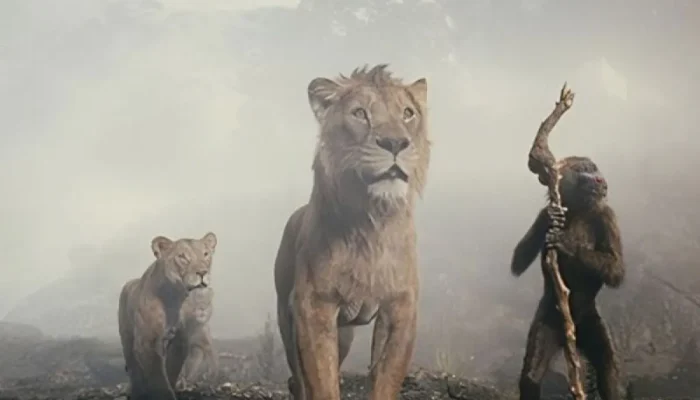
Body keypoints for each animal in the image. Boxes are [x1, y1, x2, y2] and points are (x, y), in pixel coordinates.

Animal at [118, 232, 217, 400]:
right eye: (182, 257)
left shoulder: (180, 340)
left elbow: (171, 370)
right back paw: (137, 391)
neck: (174, 298)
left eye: (205, 254)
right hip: (127, 337)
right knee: (133, 366)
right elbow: (157, 376)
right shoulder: (147, 341)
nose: (203, 273)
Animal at [273, 64, 430, 400]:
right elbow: (322, 381)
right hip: (286, 316)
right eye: (360, 113)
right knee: (299, 378)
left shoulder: (401, 308)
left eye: (408, 113)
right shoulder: (314, 307)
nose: (396, 143)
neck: (372, 223)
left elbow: (386, 377)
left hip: (343, 333)